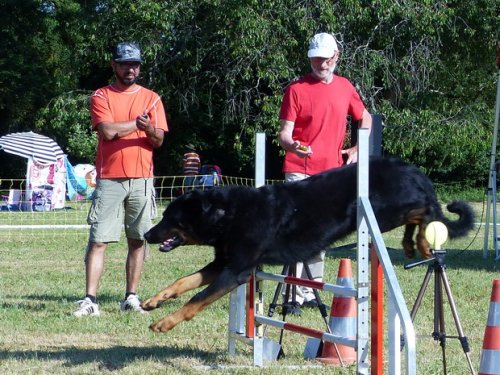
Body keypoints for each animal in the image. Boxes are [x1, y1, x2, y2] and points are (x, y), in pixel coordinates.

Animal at [141, 157, 472, 334]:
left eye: (170, 218)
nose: (146, 235)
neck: (228, 215)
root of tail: (413, 170)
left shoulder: (236, 270)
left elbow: (197, 298)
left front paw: (165, 323)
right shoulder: (223, 262)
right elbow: (184, 281)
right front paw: (154, 301)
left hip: (384, 210)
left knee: (424, 210)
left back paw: (422, 242)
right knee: (418, 214)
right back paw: (410, 245)